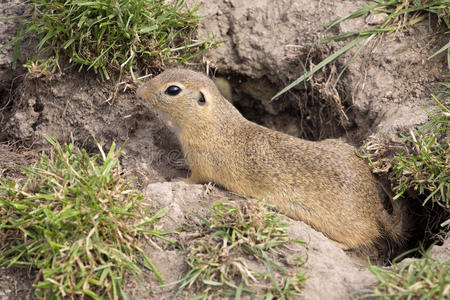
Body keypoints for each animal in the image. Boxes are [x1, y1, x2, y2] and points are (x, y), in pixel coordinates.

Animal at [136, 68, 404, 248]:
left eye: (173, 90)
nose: (140, 91)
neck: (213, 122)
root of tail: (374, 207)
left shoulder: (202, 164)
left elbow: (194, 179)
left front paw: (177, 181)